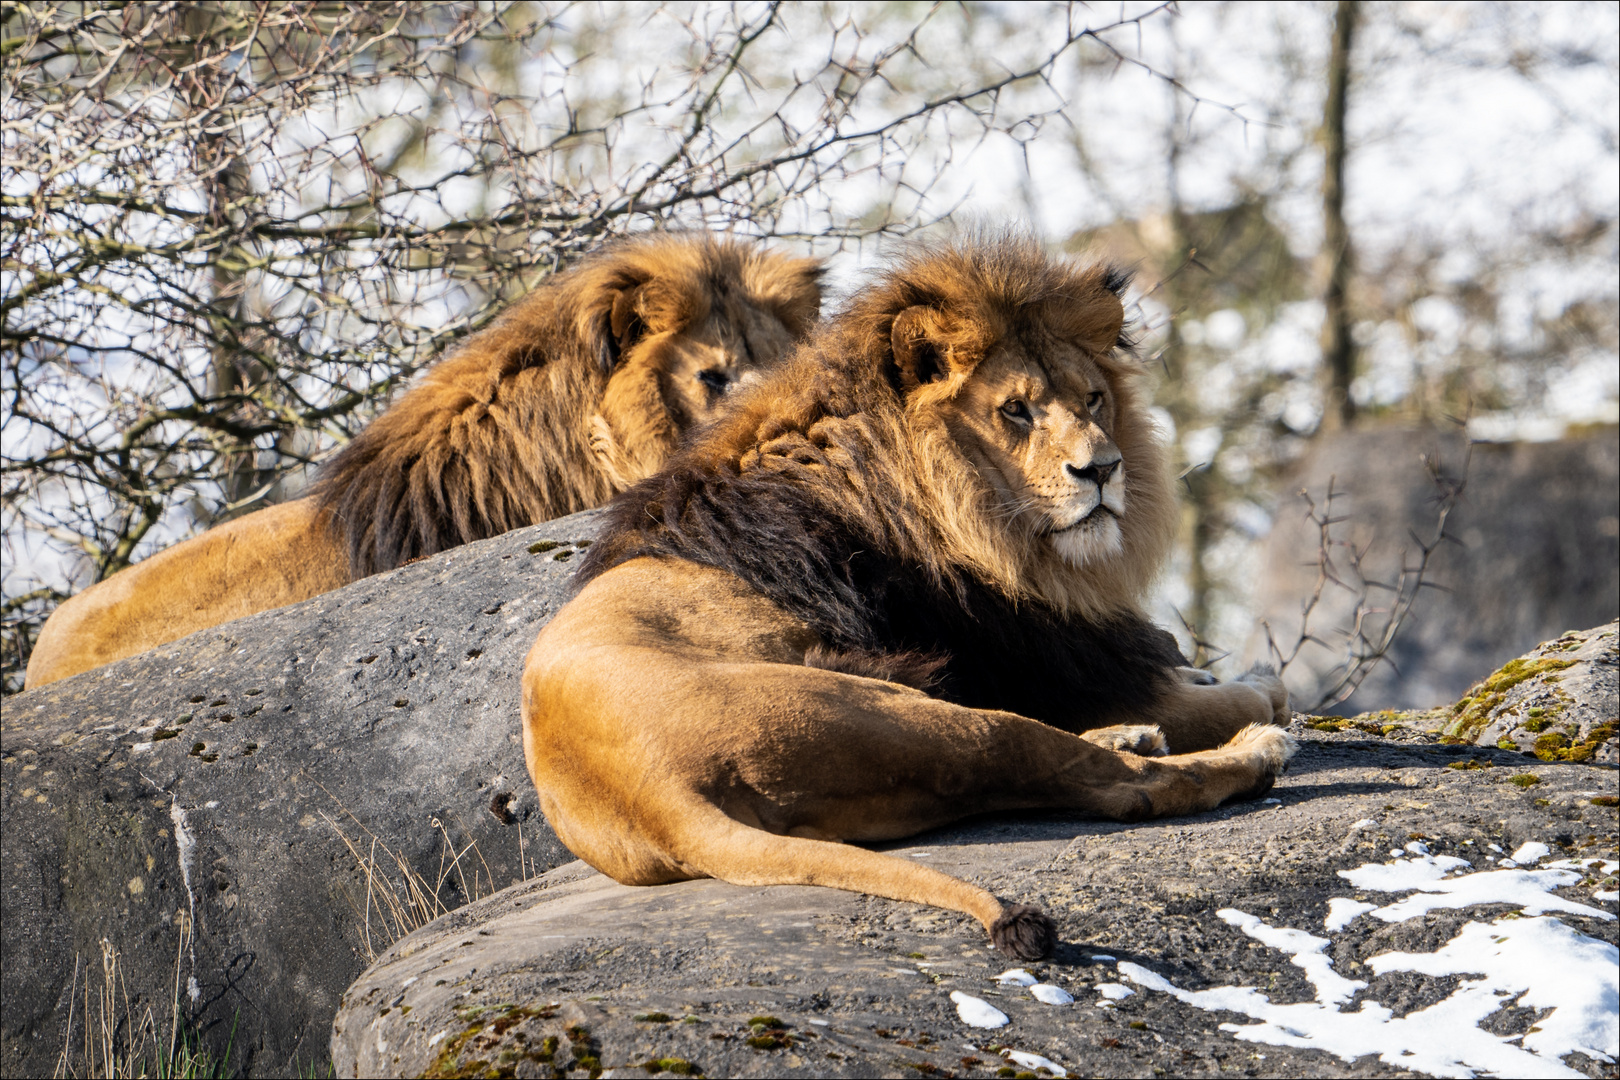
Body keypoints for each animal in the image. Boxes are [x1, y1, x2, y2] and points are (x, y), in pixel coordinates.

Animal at [524, 236, 1296, 965]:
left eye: (1094, 399)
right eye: (1015, 411)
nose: (1103, 469)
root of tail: (661, 803)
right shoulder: (1032, 656)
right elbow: (1237, 696)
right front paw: (1247, 693)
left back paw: (1131, 733)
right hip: (896, 713)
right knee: (1108, 780)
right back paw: (1247, 753)